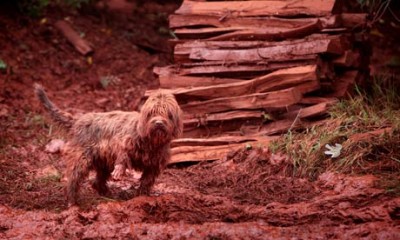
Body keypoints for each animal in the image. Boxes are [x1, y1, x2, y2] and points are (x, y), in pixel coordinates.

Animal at [36, 83, 183, 205]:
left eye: (169, 114)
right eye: (151, 113)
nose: (158, 123)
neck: (151, 142)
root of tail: (78, 120)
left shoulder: (153, 166)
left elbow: (147, 181)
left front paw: (142, 195)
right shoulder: (123, 143)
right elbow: (122, 155)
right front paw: (119, 171)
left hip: (103, 162)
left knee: (97, 181)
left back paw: (107, 194)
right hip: (81, 159)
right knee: (73, 179)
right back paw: (72, 202)